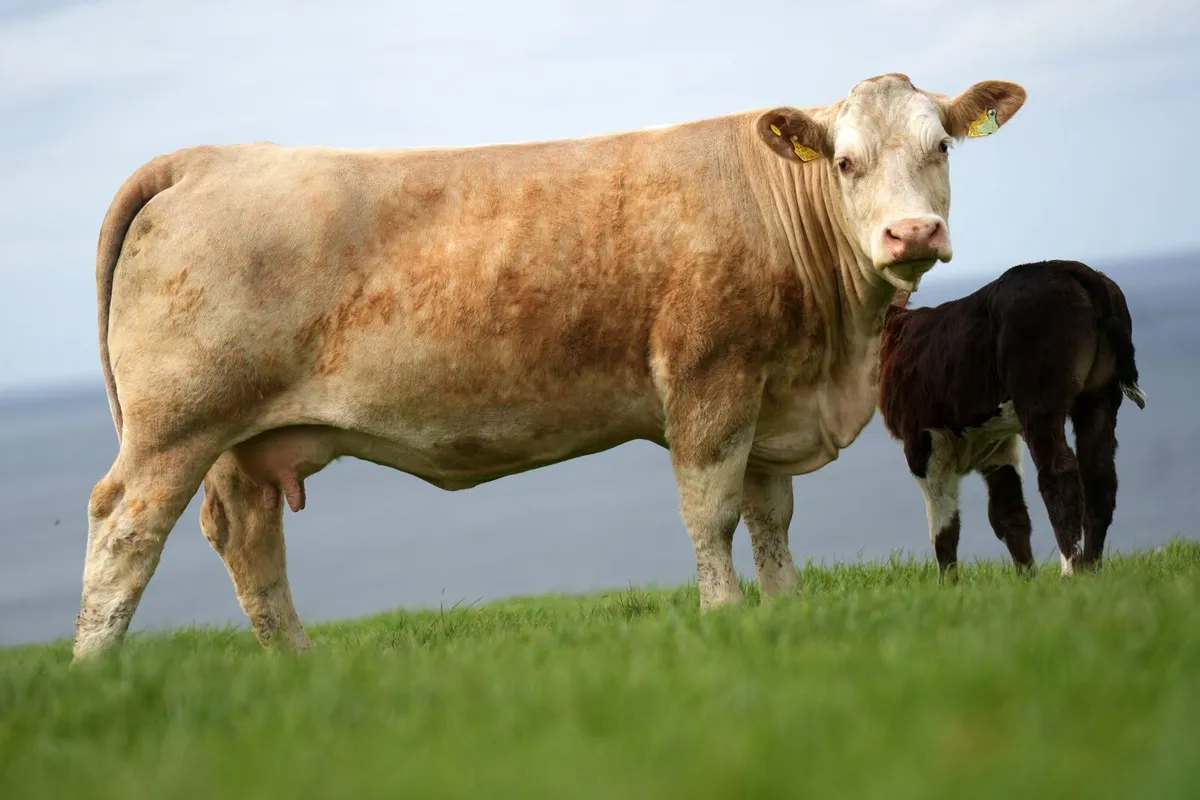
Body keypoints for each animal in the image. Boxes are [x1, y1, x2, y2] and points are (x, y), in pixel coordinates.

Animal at [74, 73, 1027, 660]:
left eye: (942, 147)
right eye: (846, 161)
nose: (911, 233)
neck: (834, 358)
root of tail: (206, 156)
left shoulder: (770, 391)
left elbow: (772, 519)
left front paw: (786, 615)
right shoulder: (710, 377)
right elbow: (712, 512)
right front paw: (723, 619)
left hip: (240, 440)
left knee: (248, 538)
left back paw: (300, 668)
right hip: (177, 425)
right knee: (125, 531)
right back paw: (97, 672)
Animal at [876, 260, 1146, 581]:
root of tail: (1066, 266)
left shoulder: (922, 441)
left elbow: (943, 524)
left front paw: (949, 585)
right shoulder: (996, 442)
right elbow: (1008, 515)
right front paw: (1027, 580)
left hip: (1039, 398)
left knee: (1060, 473)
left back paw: (1070, 572)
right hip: (1100, 397)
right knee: (1099, 474)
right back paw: (1092, 570)